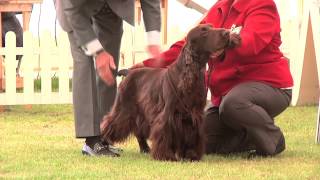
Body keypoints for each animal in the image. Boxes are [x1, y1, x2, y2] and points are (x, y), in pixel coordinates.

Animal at [100, 24, 230, 162]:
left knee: (138, 130)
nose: (227, 33)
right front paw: (166, 156)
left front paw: (191, 155)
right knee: (110, 124)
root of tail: (128, 72)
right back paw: (103, 144)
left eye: (212, 27)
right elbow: (164, 134)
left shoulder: (194, 115)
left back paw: (145, 149)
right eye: (204, 32)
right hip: (124, 108)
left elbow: (192, 136)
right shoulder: (168, 114)